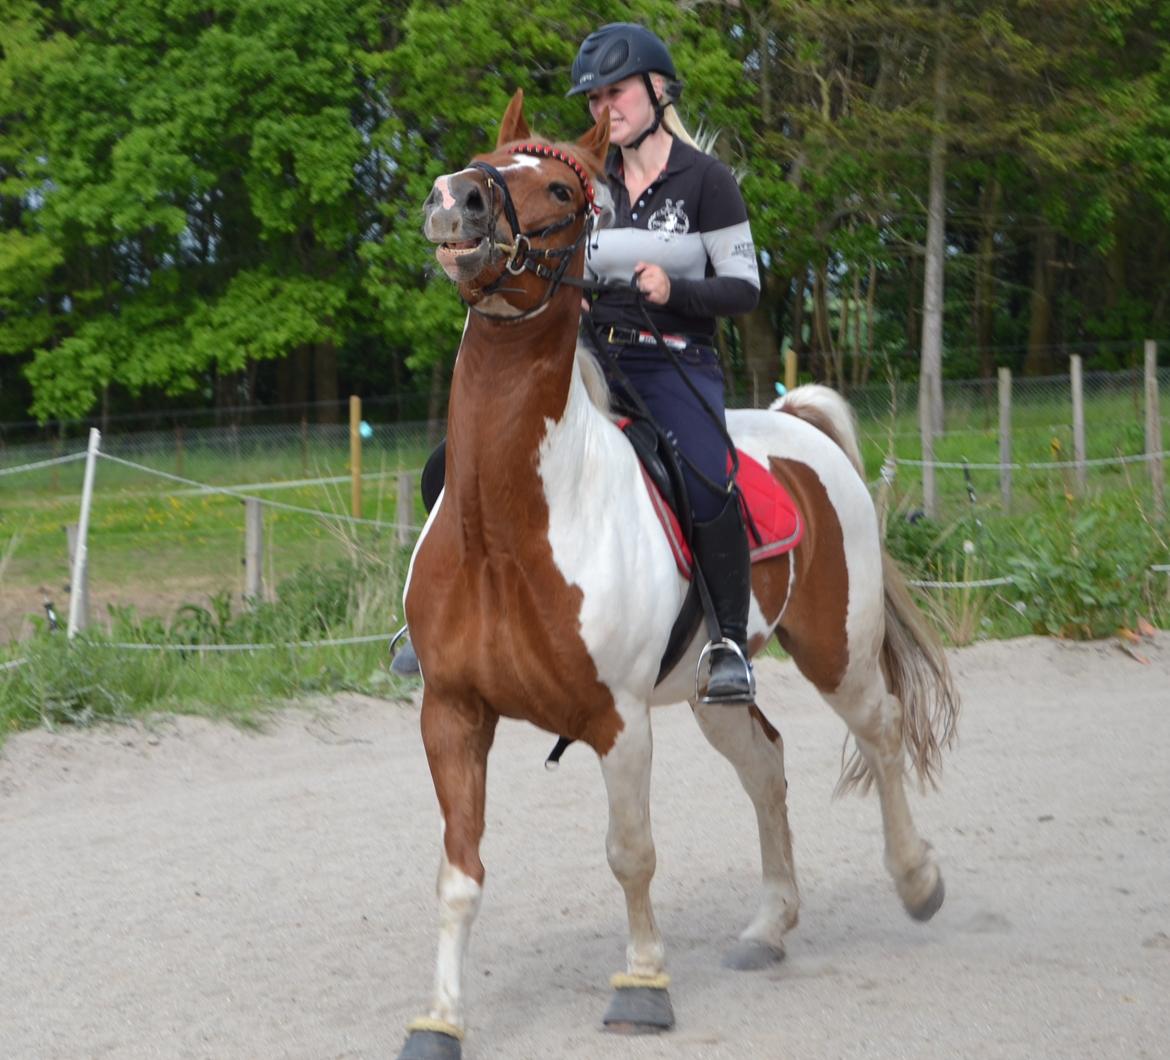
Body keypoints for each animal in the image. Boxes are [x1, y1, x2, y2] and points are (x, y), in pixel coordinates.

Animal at [395, 93, 959, 1057]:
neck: (508, 530)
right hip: (710, 689)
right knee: (766, 764)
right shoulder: (454, 713)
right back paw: (768, 928)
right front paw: (439, 1019)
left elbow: (631, 854)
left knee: (881, 732)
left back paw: (917, 881)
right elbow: (458, 872)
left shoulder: (617, 721)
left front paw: (643, 986)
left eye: (560, 189)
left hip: (837, 652)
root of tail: (796, 423)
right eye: (486, 159)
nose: (455, 200)